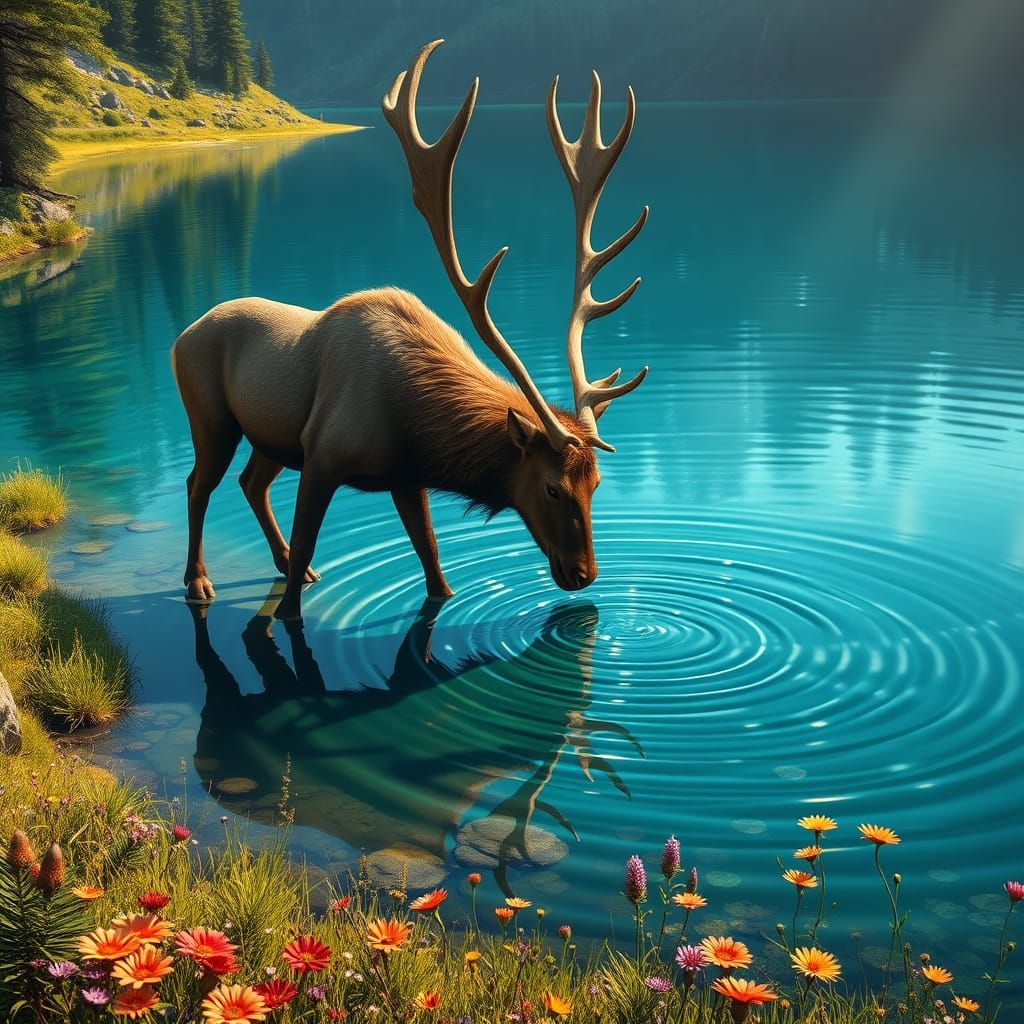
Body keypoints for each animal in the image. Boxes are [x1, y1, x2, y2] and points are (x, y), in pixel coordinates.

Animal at [171, 39, 649, 620]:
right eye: (554, 489)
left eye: (596, 484)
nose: (584, 575)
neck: (416, 420)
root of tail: (182, 334)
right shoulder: (323, 454)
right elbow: (302, 565)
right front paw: (288, 606)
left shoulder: (405, 475)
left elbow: (434, 564)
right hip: (210, 417)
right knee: (198, 484)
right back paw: (199, 581)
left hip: (271, 437)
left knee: (250, 482)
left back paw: (287, 566)